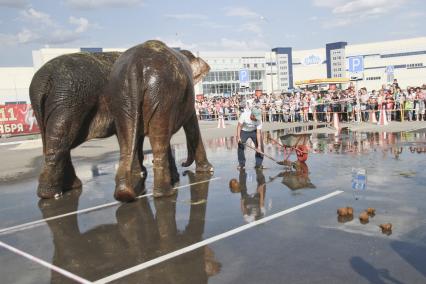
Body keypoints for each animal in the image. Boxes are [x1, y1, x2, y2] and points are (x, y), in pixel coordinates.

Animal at [29, 52, 123, 200]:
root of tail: (43, 79)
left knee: (58, 139)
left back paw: (70, 187)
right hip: (70, 101)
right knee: (61, 138)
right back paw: (53, 194)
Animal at [106, 40, 213, 202]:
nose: (184, 166)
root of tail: (133, 67)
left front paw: (176, 177)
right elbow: (191, 123)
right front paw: (207, 170)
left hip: (121, 96)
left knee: (128, 140)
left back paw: (126, 192)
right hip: (160, 93)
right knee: (158, 141)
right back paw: (166, 193)